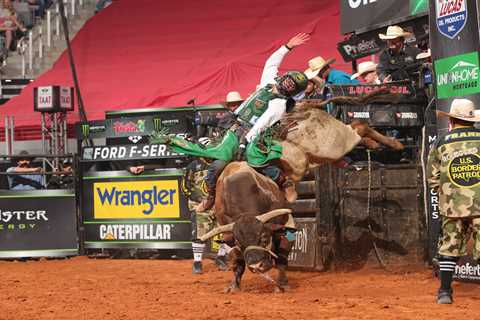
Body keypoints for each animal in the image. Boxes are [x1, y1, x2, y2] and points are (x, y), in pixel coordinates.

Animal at [184, 92, 404, 292]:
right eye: (241, 241)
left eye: (263, 237)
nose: (257, 265)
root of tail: (304, 107)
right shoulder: (229, 232)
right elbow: (237, 261)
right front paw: (234, 286)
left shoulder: (284, 224)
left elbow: (282, 255)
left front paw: (282, 284)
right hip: (325, 154)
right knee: (357, 131)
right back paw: (373, 144)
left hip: (332, 142)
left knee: (359, 125)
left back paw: (394, 144)